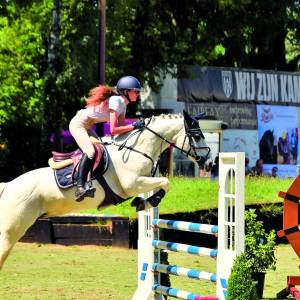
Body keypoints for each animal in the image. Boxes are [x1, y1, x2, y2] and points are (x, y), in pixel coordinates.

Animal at [0, 110, 210, 270]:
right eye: (197, 136)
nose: (209, 162)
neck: (137, 149)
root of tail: (8, 185)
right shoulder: (132, 184)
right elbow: (165, 182)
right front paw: (149, 201)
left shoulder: (142, 180)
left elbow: (162, 183)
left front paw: (142, 202)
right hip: (12, 229)